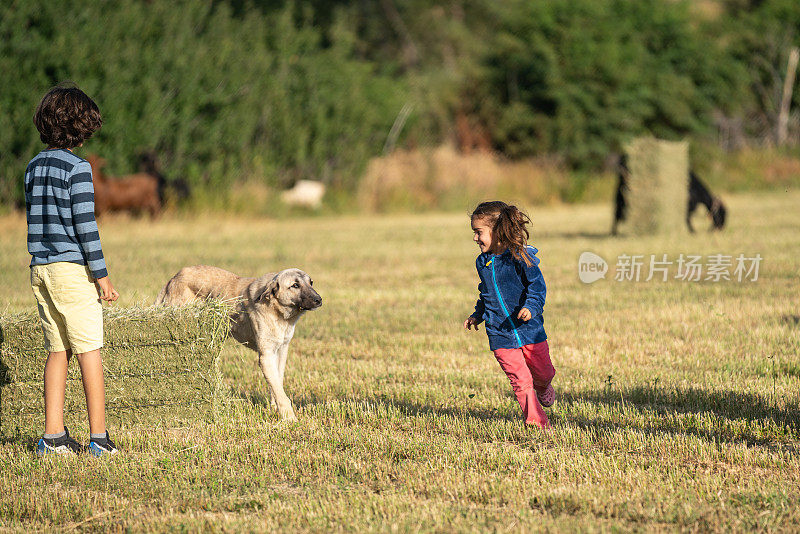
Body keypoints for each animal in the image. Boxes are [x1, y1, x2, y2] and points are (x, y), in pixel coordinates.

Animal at [155, 266, 320, 420]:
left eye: (311, 282)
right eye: (295, 285)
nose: (319, 300)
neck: (276, 310)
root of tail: (174, 278)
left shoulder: (281, 351)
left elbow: (277, 384)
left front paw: (275, 408)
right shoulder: (265, 357)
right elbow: (279, 391)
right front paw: (290, 418)